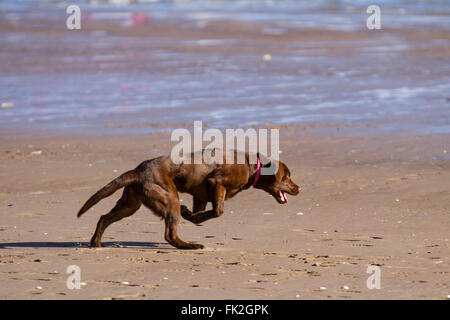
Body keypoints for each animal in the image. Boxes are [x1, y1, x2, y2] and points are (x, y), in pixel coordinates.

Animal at [78, 150, 300, 250]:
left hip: (130, 205)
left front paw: (190, 214)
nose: (300, 188)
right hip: (169, 198)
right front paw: (192, 216)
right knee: (169, 234)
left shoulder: (200, 194)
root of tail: (138, 170)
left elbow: (198, 212)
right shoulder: (216, 182)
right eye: (287, 177)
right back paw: (190, 245)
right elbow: (217, 211)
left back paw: (95, 242)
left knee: (104, 217)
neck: (251, 166)